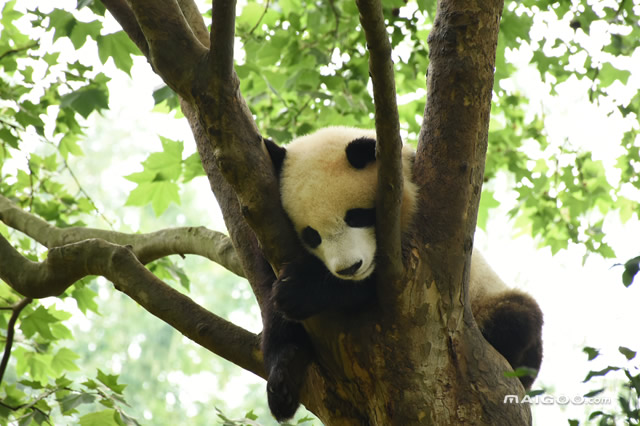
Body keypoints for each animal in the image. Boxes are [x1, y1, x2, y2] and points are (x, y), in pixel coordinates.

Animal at [260, 125, 540, 420]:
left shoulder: (418, 244)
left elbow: (373, 286)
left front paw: (301, 289)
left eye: (357, 216)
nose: (350, 268)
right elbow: (273, 304)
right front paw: (284, 372)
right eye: (311, 235)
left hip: (486, 297)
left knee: (518, 317)